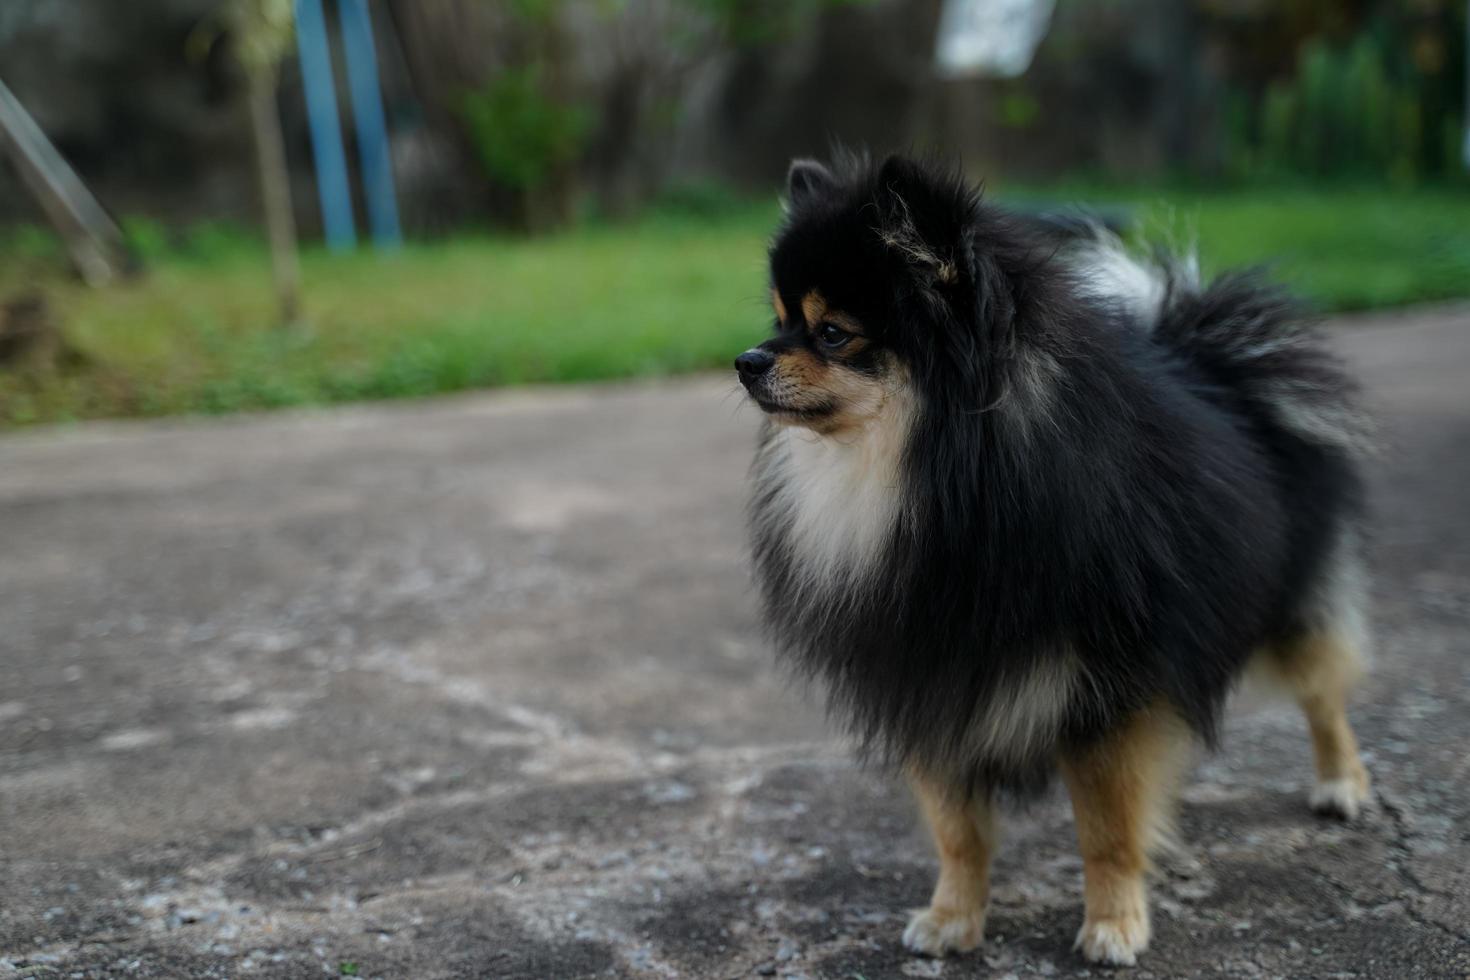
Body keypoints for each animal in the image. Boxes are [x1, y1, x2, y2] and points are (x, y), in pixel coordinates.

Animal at [740, 153, 1370, 963]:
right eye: (779, 319)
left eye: (831, 332)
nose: (747, 359)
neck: (936, 482)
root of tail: (1217, 364)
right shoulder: (925, 670)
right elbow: (956, 829)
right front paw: (952, 918)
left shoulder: (1105, 687)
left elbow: (1106, 826)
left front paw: (1114, 924)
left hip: (1292, 603)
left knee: (1323, 692)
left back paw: (1342, 783)